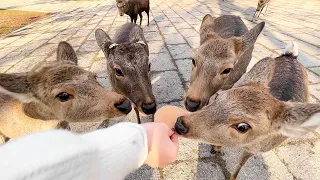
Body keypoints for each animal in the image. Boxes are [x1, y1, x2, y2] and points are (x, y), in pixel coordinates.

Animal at [175, 42, 320, 180]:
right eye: (218, 97)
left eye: (243, 127)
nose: (180, 124)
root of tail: (291, 55)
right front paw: (215, 148)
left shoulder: (255, 150)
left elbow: (240, 163)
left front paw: (232, 177)